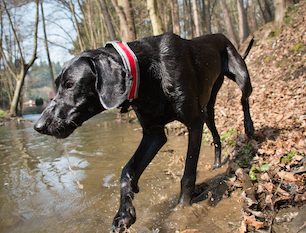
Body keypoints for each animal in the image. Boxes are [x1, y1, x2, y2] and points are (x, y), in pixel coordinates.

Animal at [34, 32, 253, 231]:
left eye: (70, 84)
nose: (39, 126)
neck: (148, 74)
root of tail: (220, 35)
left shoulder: (193, 123)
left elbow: (188, 174)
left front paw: (182, 209)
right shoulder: (153, 134)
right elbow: (127, 171)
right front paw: (124, 213)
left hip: (241, 78)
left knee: (244, 100)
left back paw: (250, 128)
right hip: (207, 109)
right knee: (216, 135)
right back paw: (216, 163)